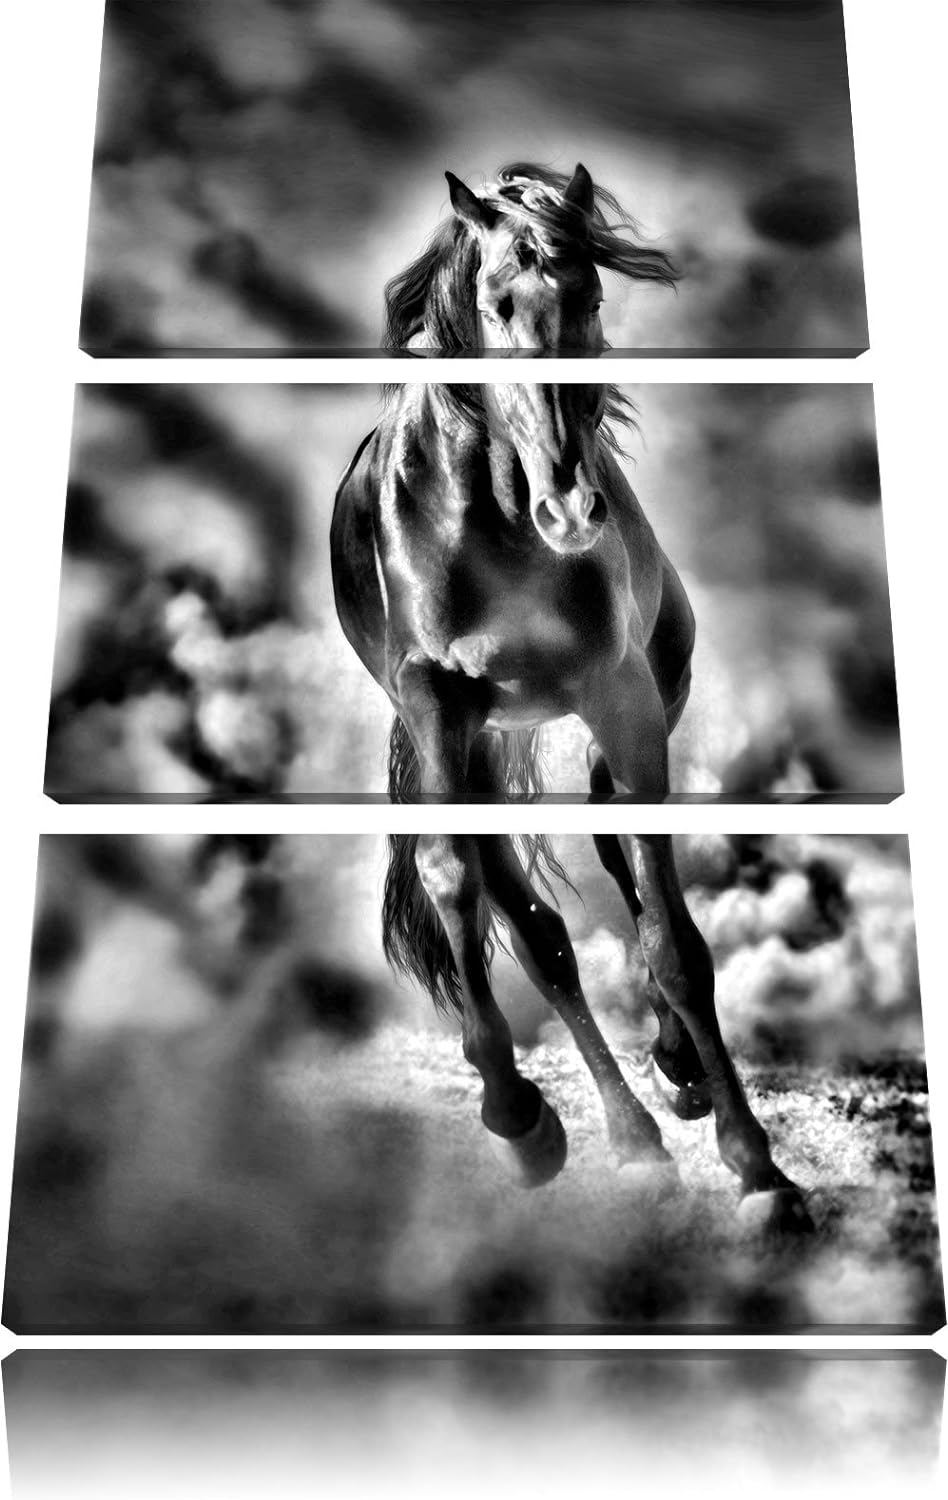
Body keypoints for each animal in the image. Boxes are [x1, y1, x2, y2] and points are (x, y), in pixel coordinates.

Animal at [330, 378, 812, 1231]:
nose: (570, 505)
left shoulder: (630, 702)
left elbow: (672, 940)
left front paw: (759, 1170)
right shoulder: (436, 706)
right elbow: (456, 875)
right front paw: (517, 1116)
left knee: (613, 854)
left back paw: (673, 1074)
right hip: (472, 751)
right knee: (537, 930)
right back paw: (628, 1142)